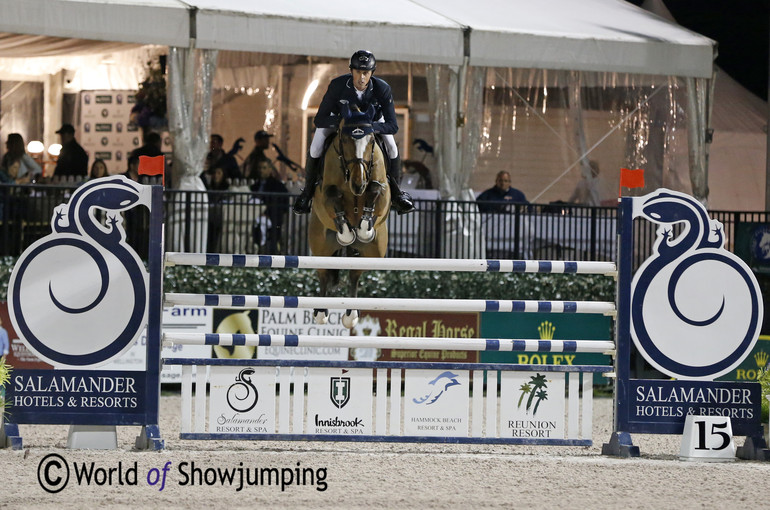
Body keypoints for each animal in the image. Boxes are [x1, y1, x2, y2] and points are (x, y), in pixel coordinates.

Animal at [306, 104, 390, 326]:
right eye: (344, 140)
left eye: (371, 140)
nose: (358, 184)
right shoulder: (325, 195)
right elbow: (333, 196)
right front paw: (346, 233)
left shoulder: (383, 192)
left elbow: (377, 189)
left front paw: (363, 228)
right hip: (320, 246)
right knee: (323, 273)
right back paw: (320, 312)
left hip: (374, 252)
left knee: (355, 273)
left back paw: (351, 314)